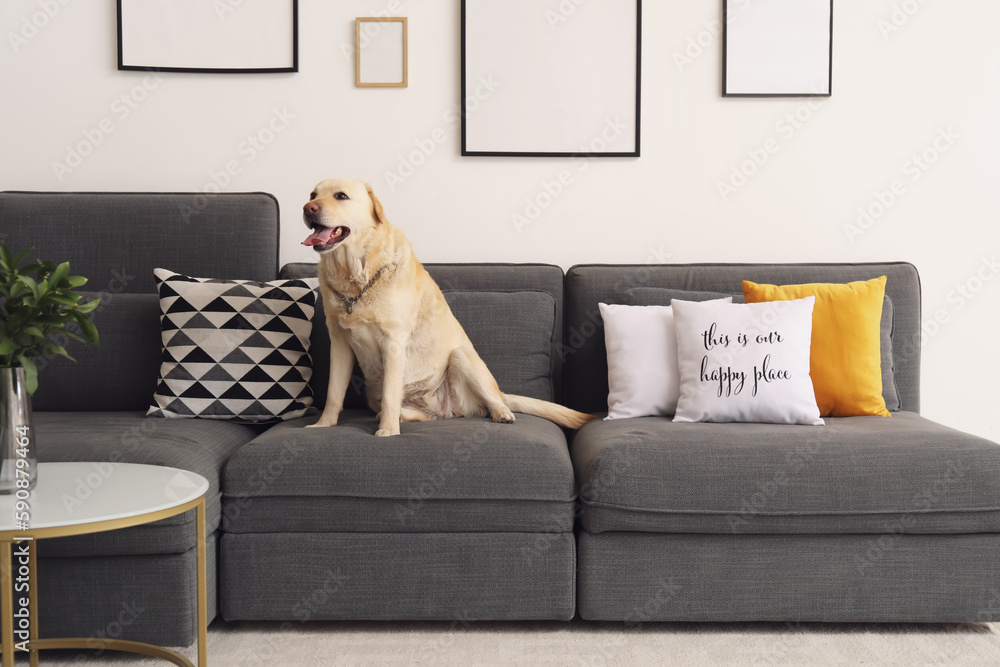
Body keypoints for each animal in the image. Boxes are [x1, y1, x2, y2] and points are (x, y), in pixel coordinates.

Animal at [298, 180, 592, 436]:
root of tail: (445, 408)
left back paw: (501, 413)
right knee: (422, 413)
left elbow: (391, 394)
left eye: (341, 196)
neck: (355, 277)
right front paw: (323, 425)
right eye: (313, 194)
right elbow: (334, 393)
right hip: (377, 392)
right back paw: (405, 415)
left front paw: (388, 432)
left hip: (462, 357)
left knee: (492, 401)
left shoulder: (393, 342)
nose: (308, 208)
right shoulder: (339, 343)